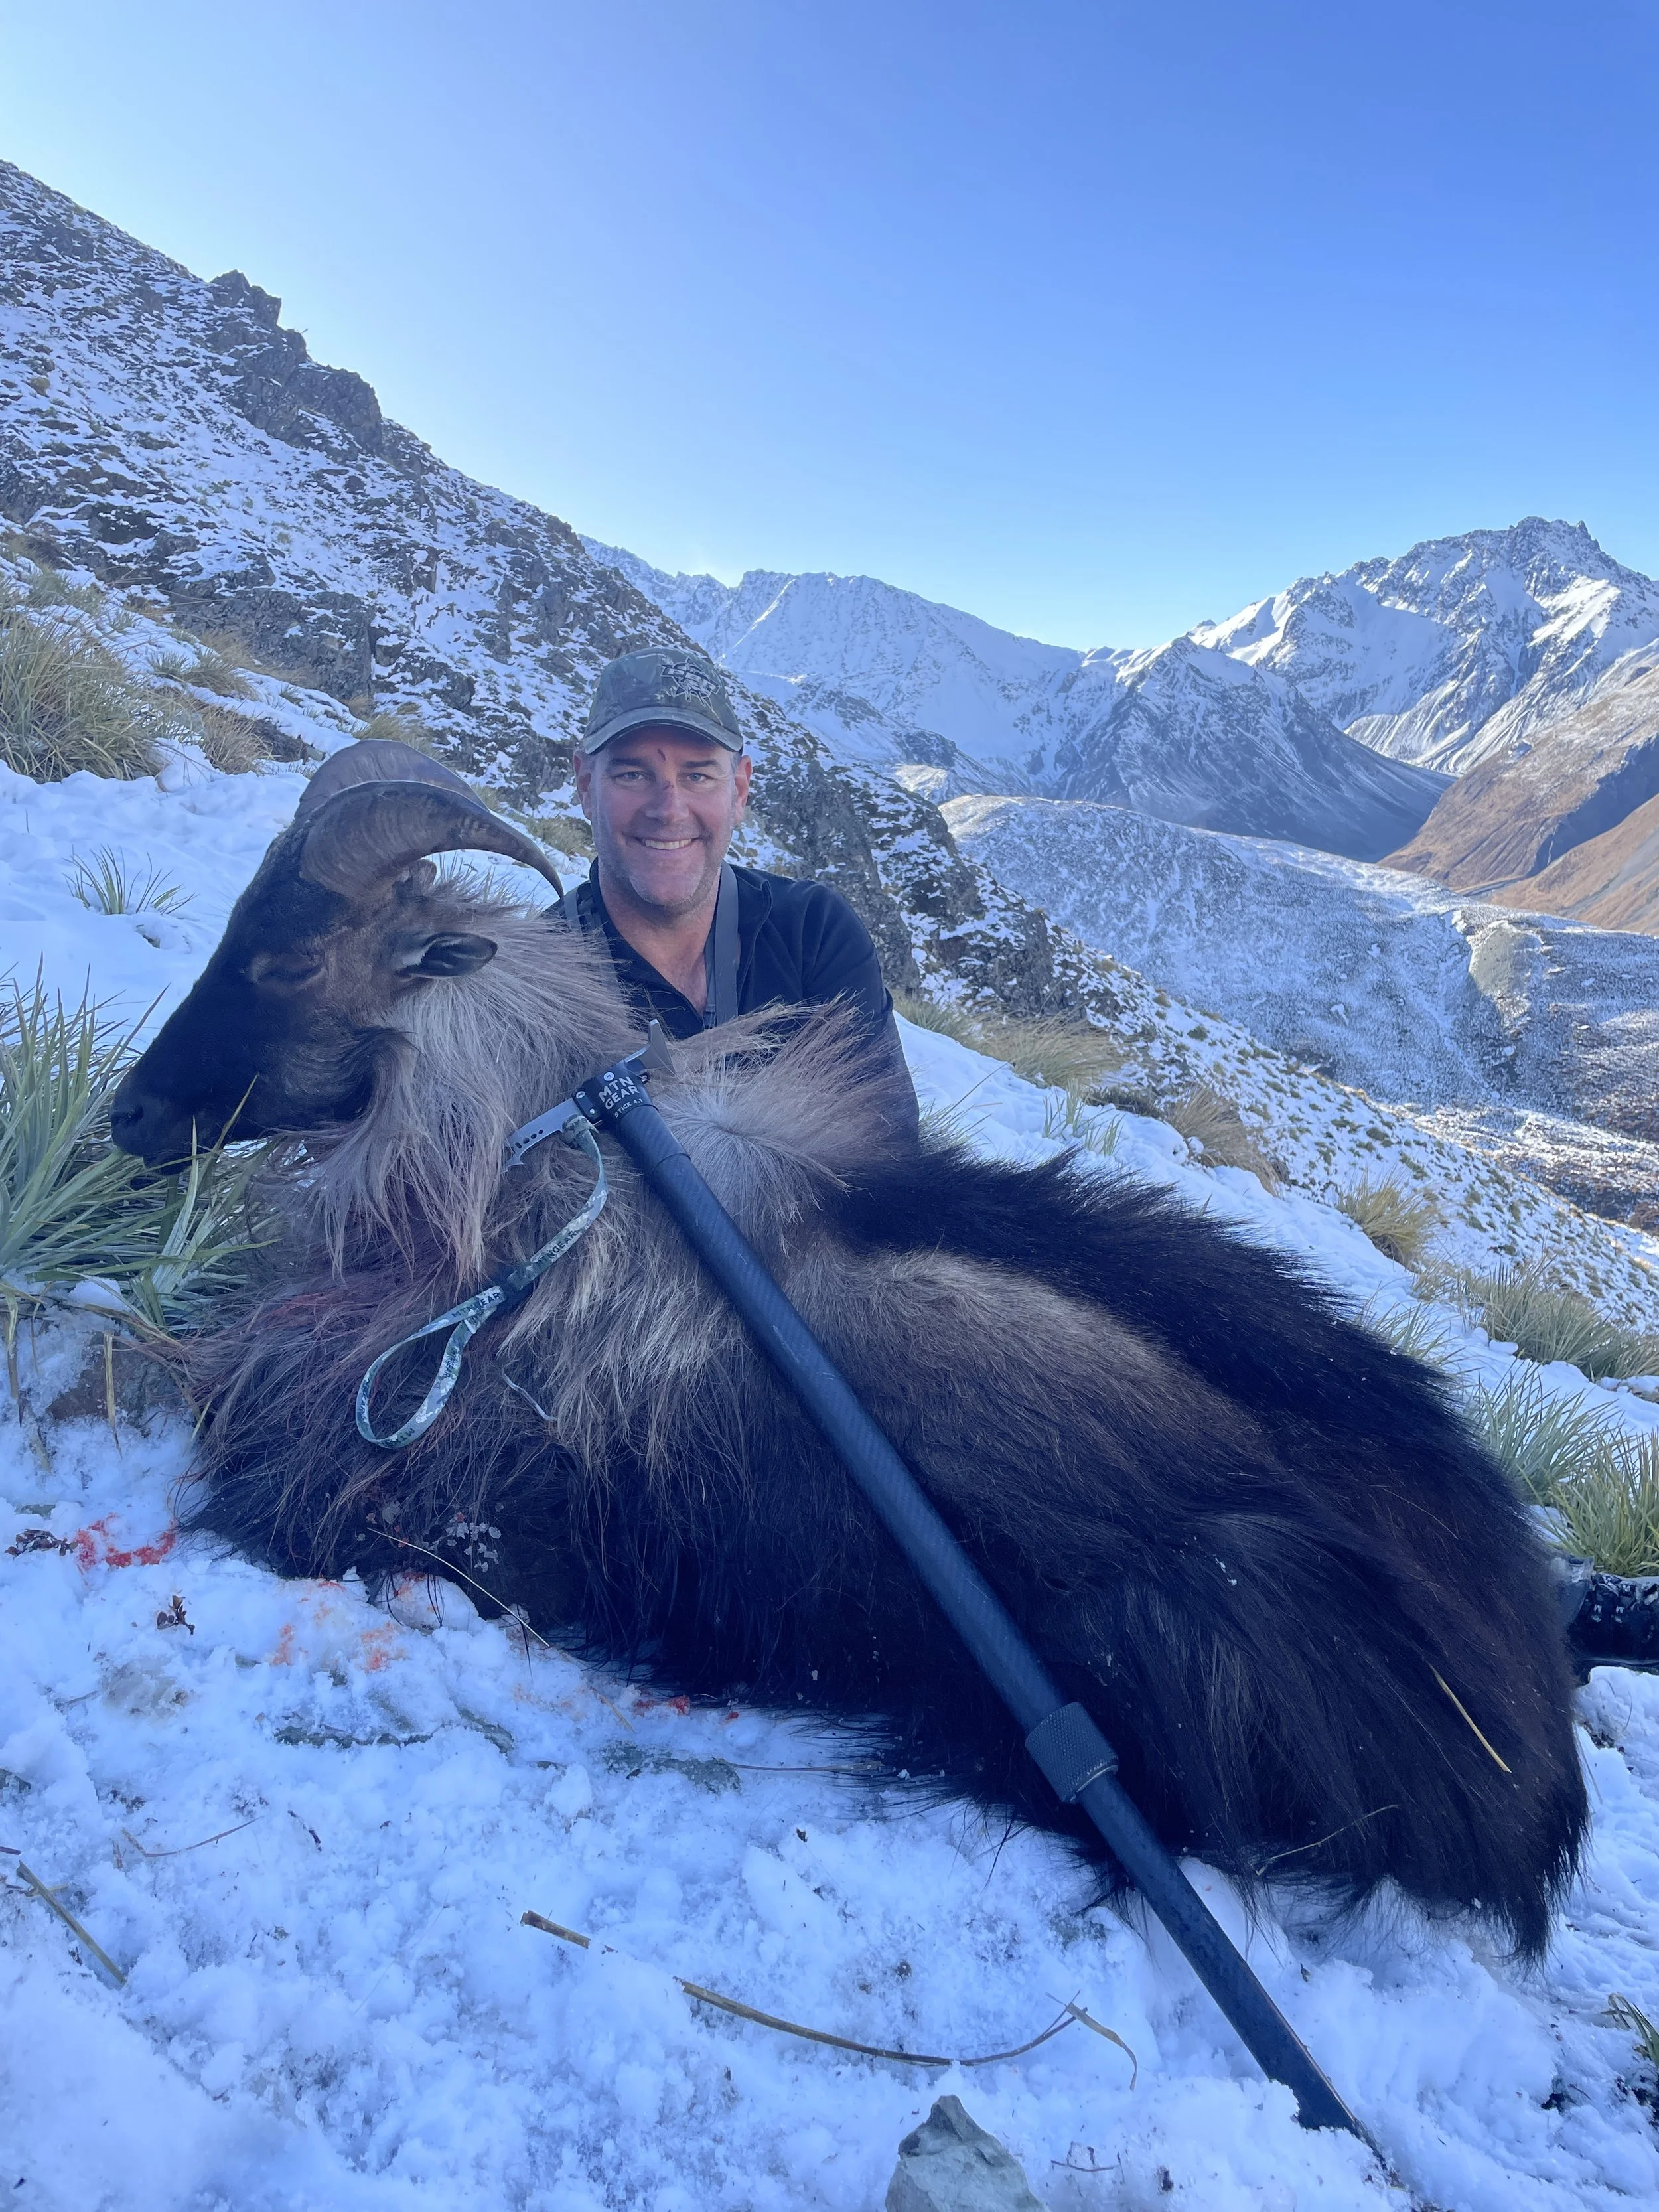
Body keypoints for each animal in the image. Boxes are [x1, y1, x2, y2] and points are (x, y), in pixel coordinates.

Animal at [113, 741, 1589, 1957]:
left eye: (288, 963)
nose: (129, 1115)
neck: (547, 1182)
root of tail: (1540, 1773)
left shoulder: (464, 1494)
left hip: (1205, 1611)